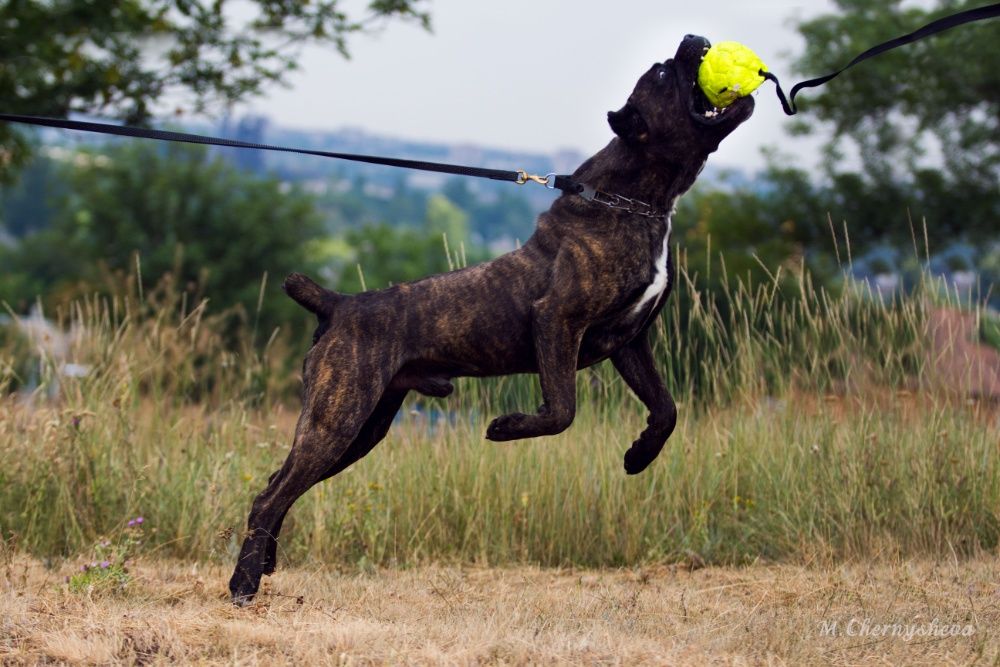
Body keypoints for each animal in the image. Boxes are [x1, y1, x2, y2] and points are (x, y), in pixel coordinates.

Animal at [230, 32, 752, 604]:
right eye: (661, 74)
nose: (694, 39)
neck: (634, 199)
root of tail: (338, 302)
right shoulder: (557, 321)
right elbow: (562, 410)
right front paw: (504, 429)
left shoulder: (630, 342)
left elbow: (666, 409)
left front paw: (638, 456)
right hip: (338, 419)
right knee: (271, 495)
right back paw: (244, 583)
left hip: (361, 429)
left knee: (277, 487)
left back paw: (264, 565)